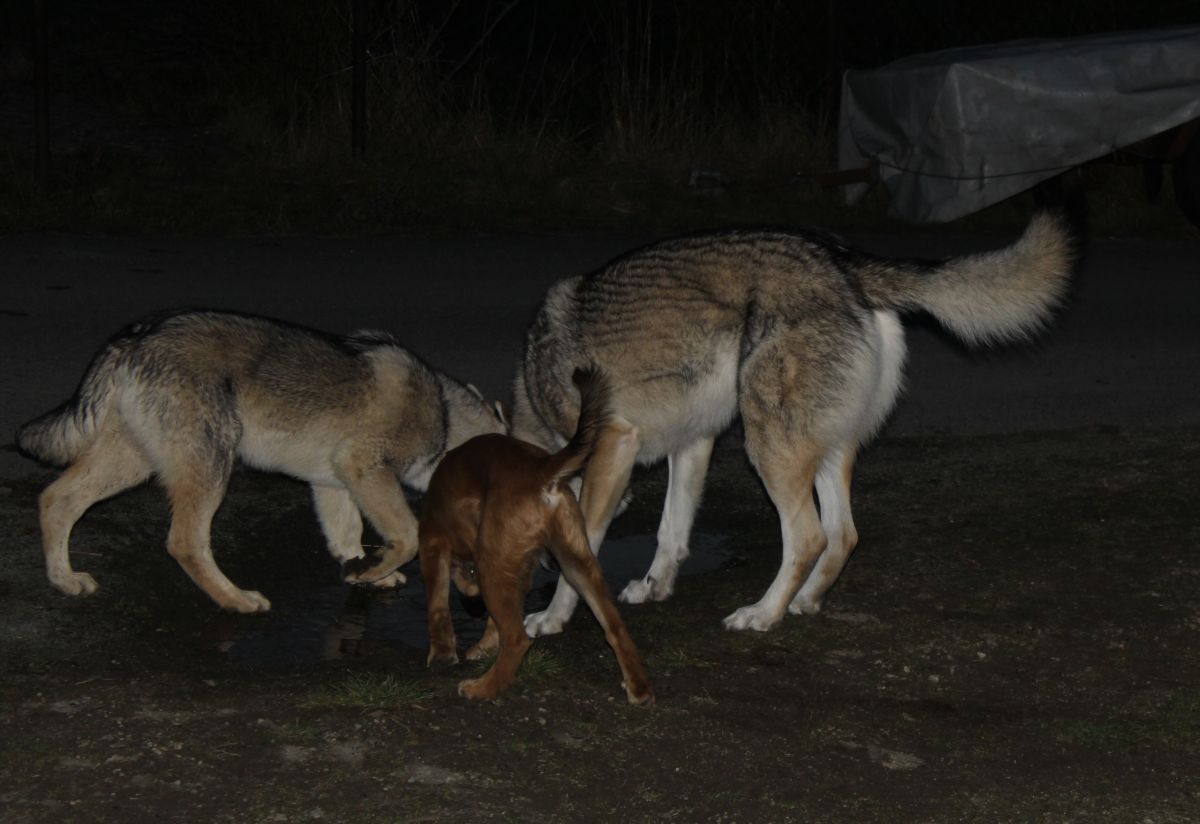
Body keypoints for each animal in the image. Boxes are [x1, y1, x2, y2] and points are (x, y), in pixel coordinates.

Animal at [17, 309, 506, 611]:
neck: (444, 415)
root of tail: (137, 335)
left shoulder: (334, 482)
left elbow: (348, 536)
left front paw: (364, 572)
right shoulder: (364, 468)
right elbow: (406, 537)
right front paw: (375, 570)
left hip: (134, 464)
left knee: (56, 499)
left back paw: (64, 579)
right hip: (211, 466)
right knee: (185, 542)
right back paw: (235, 599)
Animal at [417, 371, 652, 705]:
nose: (472, 605)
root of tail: (540, 469)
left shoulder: (432, 542)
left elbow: (437, 606)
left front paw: (442, 655)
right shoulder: (519, 565)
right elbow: (495, 619)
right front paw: (485, 646)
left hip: (498, 566)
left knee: (517, 639)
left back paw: (485, 688)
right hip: (577, 563)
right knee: (615, 626)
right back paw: (638, 687)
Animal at [511, 211, 1075, 633]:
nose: (536, 571)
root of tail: (846, 263)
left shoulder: (614, 445)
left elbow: (585, 552)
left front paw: (552, 617)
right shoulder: (694, 443)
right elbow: (672, 530)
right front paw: (655, 588)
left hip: (769, 448)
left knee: (809, 537)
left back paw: (763, 614)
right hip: (822, 448)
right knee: (844, 534)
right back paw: (804, 601)